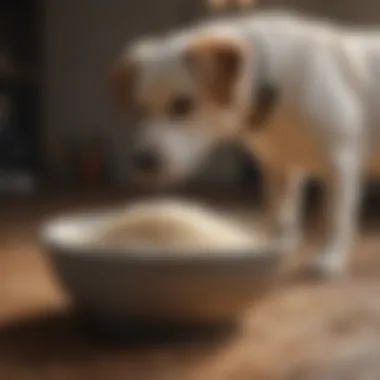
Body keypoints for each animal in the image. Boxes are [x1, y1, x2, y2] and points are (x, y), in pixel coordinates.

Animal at [109, 9, 380, 276]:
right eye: (140, 109)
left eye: (182, 105)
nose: (143, 162)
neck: (276, 85)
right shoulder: (279, 167)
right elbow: (281, 213)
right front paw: (275, 245)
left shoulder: (340, 165)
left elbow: (335, 218)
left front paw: (329, 258)